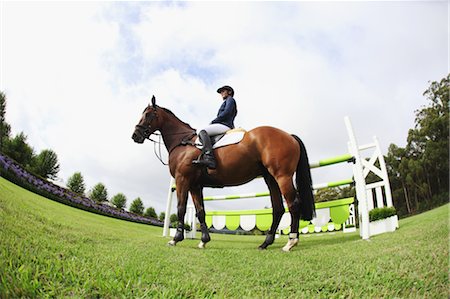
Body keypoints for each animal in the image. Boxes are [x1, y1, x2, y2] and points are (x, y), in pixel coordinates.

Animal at [132, 97, 314, 252]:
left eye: (148, 114)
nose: (135, 136)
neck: (183, 142)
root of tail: (289, 136)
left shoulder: (182, 180)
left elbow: (181, 208)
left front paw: (175, 239)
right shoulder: (195, 185)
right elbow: (200, 211)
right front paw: (203, 241)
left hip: (282, 177)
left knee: (293, 204)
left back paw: (290, 242)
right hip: (271, 179)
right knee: (278, 209)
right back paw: (265, 243)